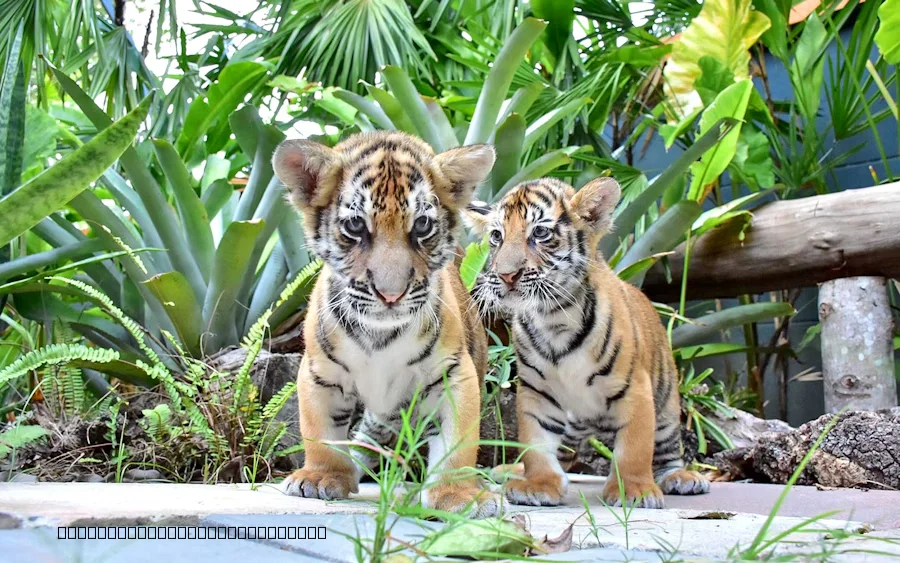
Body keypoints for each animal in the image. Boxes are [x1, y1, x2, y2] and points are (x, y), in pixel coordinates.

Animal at [271, 131, 500, 517]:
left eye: (422, 225)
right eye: (355, 226)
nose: (390, 294)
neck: (380, 334)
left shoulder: (455, 374)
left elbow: (457, 442)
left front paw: (458, 495)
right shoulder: (319, 373)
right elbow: (319, 429)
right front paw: (320, 477)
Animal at [465, 176, 710, 508]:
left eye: (540, 233)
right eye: (496, 236)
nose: (506, 275)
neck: (552, 317)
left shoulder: (635, 388)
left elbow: (634, 447)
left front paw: (634, 491)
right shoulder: (537, 391)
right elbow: (536, 443)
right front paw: (538, 485)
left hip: (668, 406)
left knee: (667, 451)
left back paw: (681, 478)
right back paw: (511, 471)